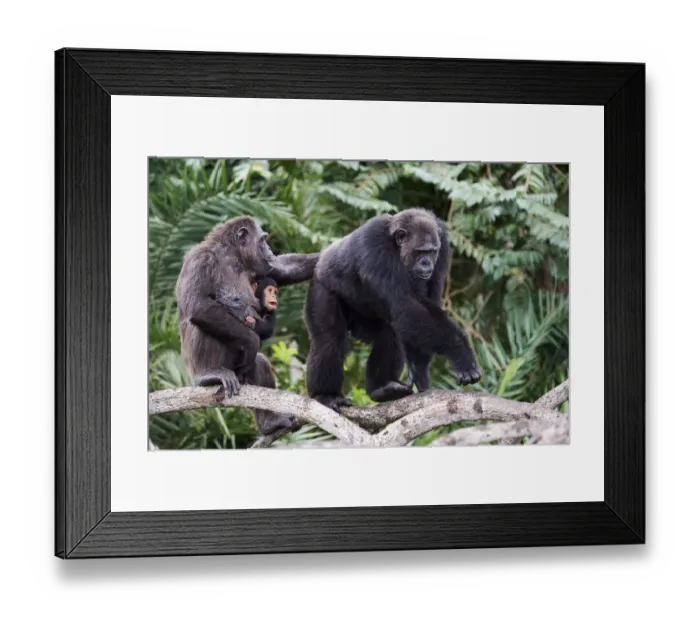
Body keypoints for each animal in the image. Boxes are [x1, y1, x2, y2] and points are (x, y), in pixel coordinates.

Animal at [174, 215, 318, 435]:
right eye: (263, 240)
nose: (269, 248)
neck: (232, 256)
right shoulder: (201, 260)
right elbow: (199, 305)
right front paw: (252, 341)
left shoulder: (261, 266)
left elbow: (283, 267)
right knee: (201, 321)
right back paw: (208, 375)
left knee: (260, 364)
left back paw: (271, 422)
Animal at [304, 207, 482, 412]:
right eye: (420, 252)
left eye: (431, 252)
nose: (426, 263)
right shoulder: (373, 244)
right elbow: (403, 306)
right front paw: (460, 352)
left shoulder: (443, 245)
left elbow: (425, 303)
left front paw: (420, 370)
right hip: (322, 286)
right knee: (329, 339)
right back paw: (325, 395)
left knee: (389, 333)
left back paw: (381, 388)